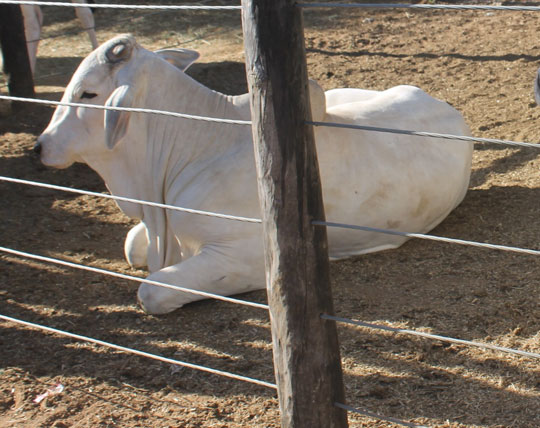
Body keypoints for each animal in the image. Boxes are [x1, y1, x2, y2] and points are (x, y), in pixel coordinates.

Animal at [35, 34, 472, 314]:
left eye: (88, 93)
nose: (40, 146)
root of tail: (443, 105)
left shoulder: (239, 259)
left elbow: (152, 292)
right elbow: (131, 245)